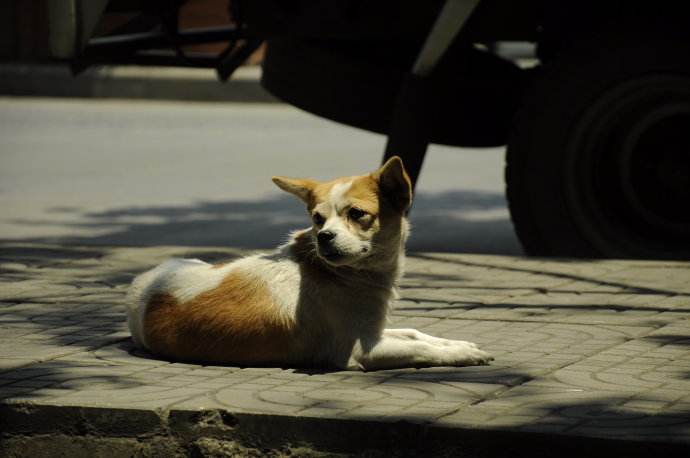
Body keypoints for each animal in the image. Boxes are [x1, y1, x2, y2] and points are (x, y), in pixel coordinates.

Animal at [126, 157, 492, 368]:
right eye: (317, 219)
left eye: (357, 214)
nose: (324, 236)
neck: (342, 275)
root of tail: (141, 288)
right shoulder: (362, 350)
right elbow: (423, 349)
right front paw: (462, 355)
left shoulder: (371, 330)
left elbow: (417, 335)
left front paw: (458, 344)